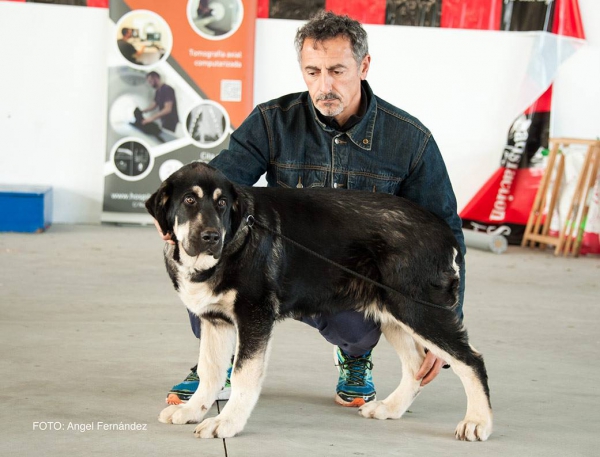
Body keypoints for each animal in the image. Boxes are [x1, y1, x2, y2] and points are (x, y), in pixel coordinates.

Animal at [146, 162, 492, 440]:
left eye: (221, 204)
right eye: (189, 200)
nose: (211, 237)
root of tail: (445, 230)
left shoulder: (254, 315)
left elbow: (244, 374)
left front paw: (227, 423)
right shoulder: (215, 320)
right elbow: (211, 371)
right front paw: (192, 411)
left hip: (417, 310)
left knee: (471, 360)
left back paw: (478, 422)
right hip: (392, 313)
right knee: (417, 364)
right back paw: (391, 408)